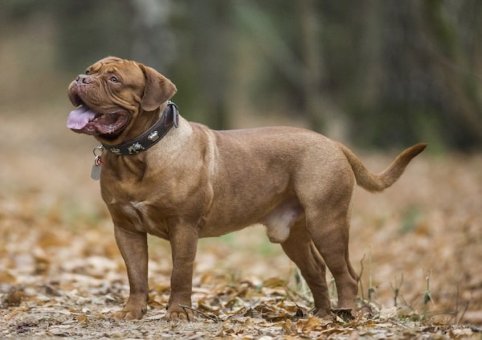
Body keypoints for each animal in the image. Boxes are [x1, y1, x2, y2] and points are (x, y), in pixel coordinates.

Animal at [65, 56, 426, 322]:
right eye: (90, 71)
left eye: (114, 79)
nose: (80, 79)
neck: (136, 154)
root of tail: (333, 143)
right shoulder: (126, 229)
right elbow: (136, 275)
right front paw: (132, 311)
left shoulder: (183, 227)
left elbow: (180, 273)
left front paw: (179, 313)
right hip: (294, 235)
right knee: (316, 271)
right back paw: (322, 315)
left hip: (326, 222)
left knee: (346, 274)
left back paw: (346, 313)